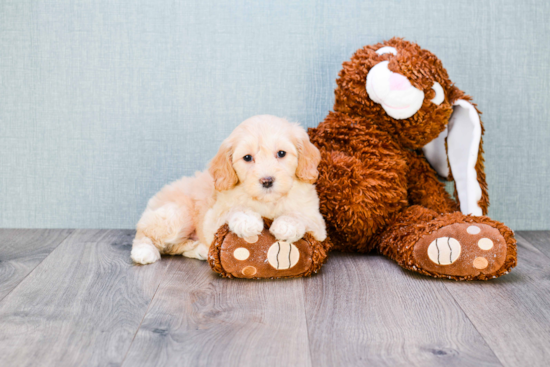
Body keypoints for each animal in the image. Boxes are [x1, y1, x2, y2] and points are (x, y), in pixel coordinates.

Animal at [131, 114, 326, 264]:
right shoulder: (213, 218)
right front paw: (247, 220)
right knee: (145, 234)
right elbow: (233, 209)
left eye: (281, 153)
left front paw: (286, 225)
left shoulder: (317, 222)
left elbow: (299, 215)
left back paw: (200, 250)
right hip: (176, 215)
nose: (267, 181)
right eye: (247, 157)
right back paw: (144, 251)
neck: (266, 201)